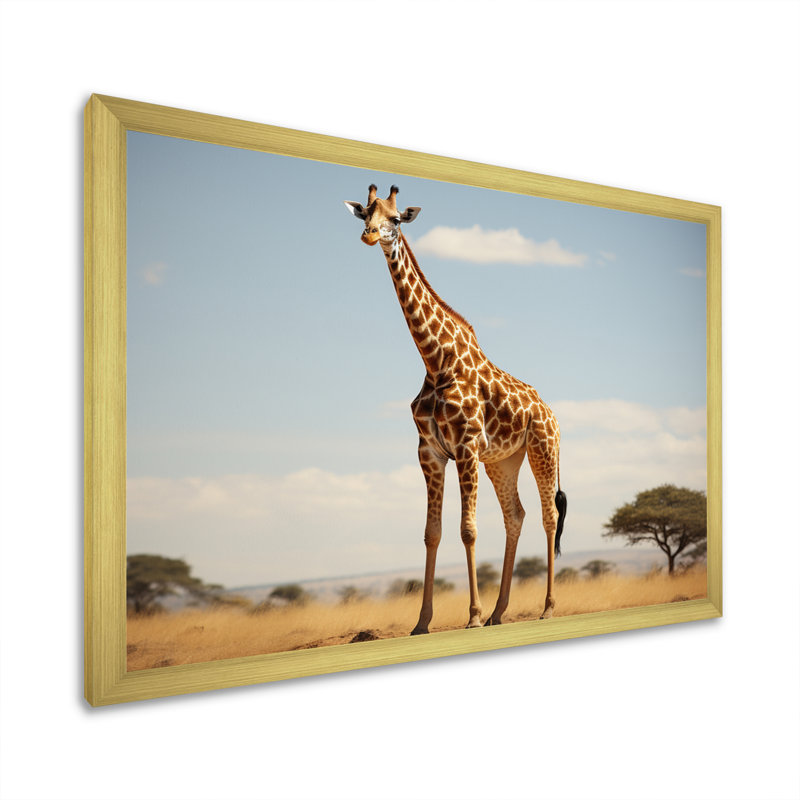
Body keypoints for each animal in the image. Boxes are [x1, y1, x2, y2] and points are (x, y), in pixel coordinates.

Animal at [345, 184, 567, 633]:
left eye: (396, 219)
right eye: (366, 213)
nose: (370, 236)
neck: (435, 360)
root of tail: (552, 414)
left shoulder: (464, 447)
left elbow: (468, 530)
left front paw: (473, 616)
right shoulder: (429, 452)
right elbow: (432, 532)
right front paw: (422, 622)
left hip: (542, 449)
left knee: (548, 515)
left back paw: (547, 608)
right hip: (503, 460)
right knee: (515, 515)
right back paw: (500, 612)